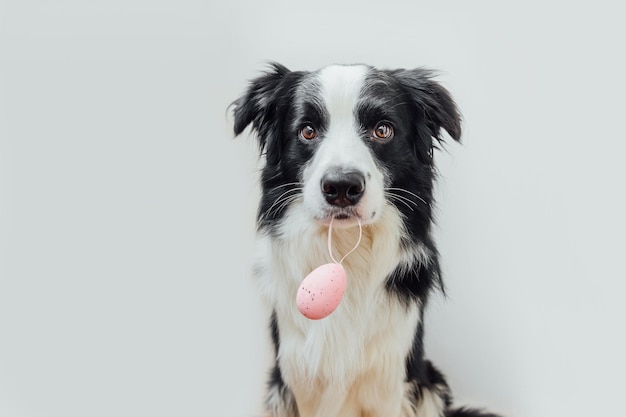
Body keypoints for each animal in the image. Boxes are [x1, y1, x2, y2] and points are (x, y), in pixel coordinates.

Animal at [230, 63, 498, 416]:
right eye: (307, 131)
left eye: (383, 130)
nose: (342, 187)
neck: (345, 253)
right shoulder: (301, 377)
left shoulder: (388, 378)